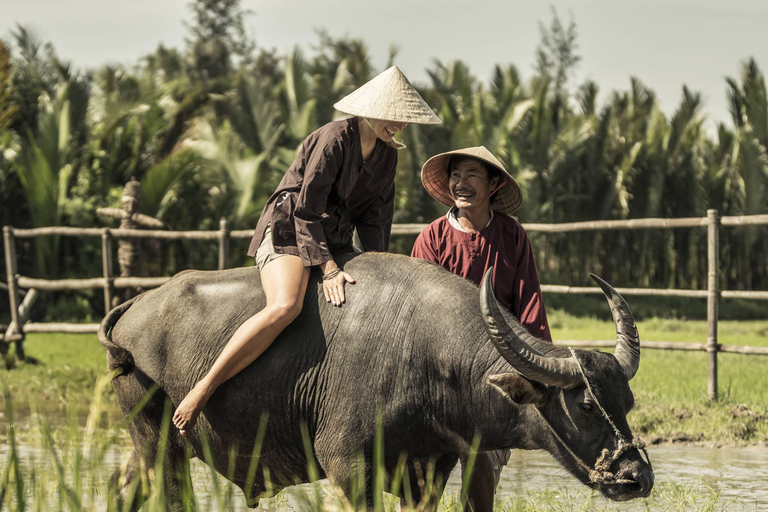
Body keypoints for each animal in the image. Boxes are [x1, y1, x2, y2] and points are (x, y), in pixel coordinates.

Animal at [99, 251, 656, 508]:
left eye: (627, 403)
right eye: (586, 404)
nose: (637, 477)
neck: (432, 362)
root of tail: (136, 306)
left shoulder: (429, 472)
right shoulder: (347, 467)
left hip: (145, 445)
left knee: (122, 486)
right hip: (162, 445)